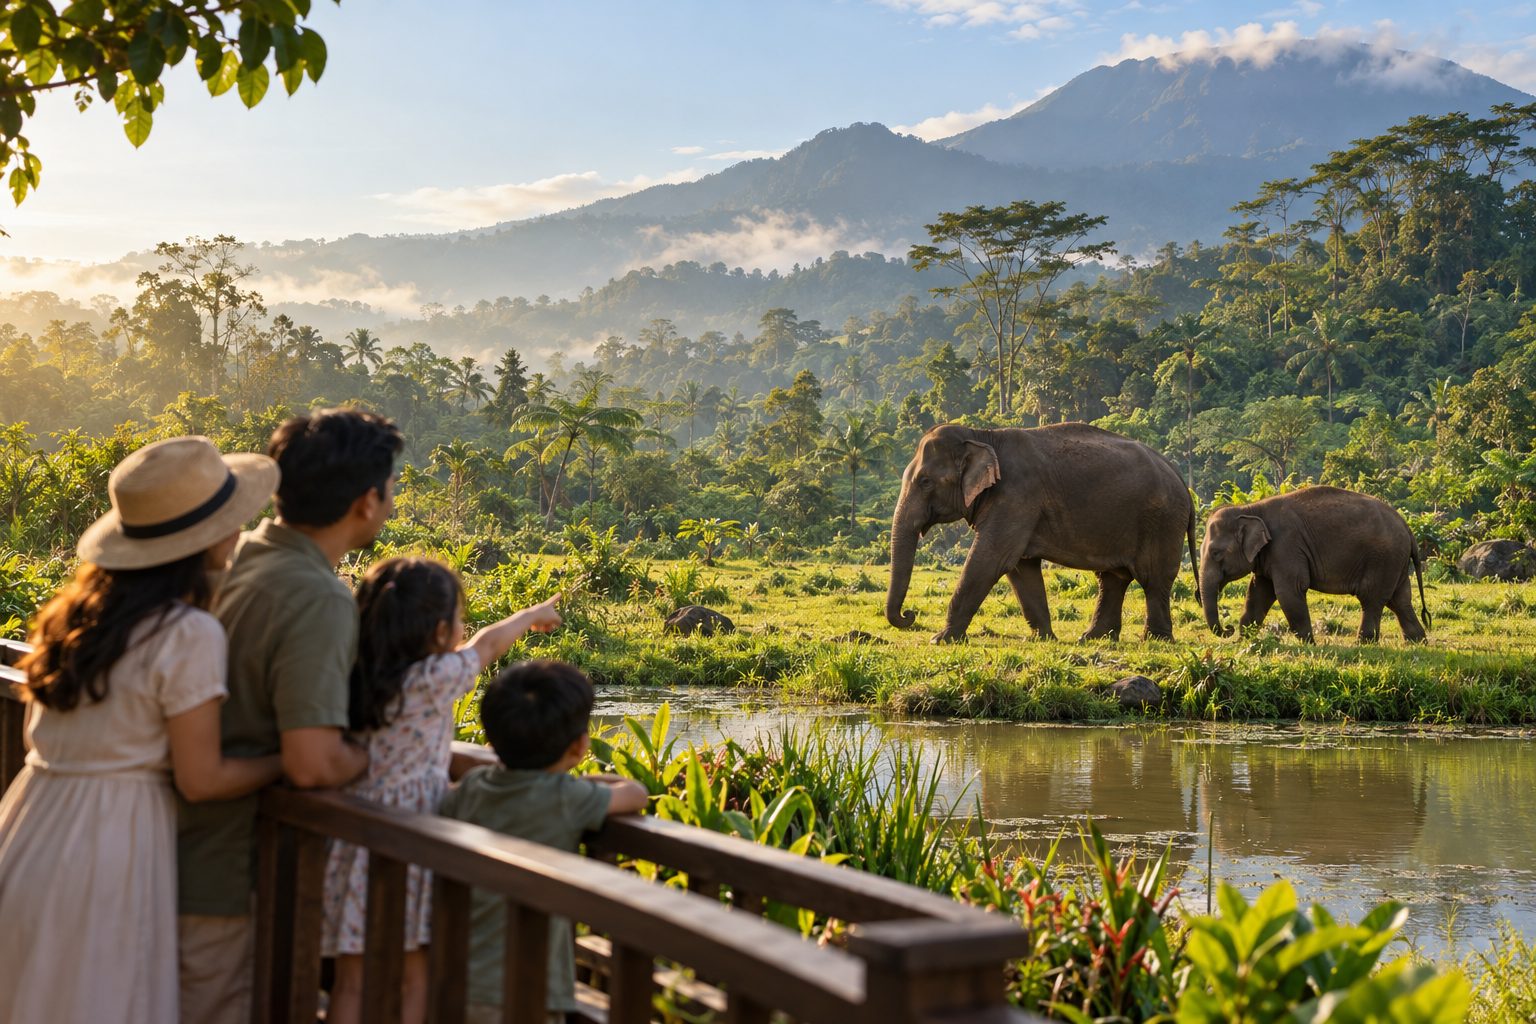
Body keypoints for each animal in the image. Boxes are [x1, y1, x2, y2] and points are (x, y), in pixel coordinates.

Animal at [886, 422, 1198, 643]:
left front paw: (940, 640)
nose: (908, 614)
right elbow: (1020, 568)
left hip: (1162, 522)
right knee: (1113, 579)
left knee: (1153, 579)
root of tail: (1181, 479)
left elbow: (992, 558)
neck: (982, 435)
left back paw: (1155, 640)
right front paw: (1043, 639)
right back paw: (1091, 639)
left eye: (925, 481)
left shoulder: (1017, 497)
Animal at [1199, 486, 1429, 643]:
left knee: (1372, 598)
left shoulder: (1287, 547)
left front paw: (1309, 644)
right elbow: (1259, 593)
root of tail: (1408, 528)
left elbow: (1288, 591)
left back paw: (1363, 643)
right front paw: (1243, 642)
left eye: (1216, 553)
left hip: (1383, 559)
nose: (1227, 629)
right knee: (1399, 600)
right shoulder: (1269, 555)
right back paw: (1417, 642)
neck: (1250, 509)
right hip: (1395, 561)